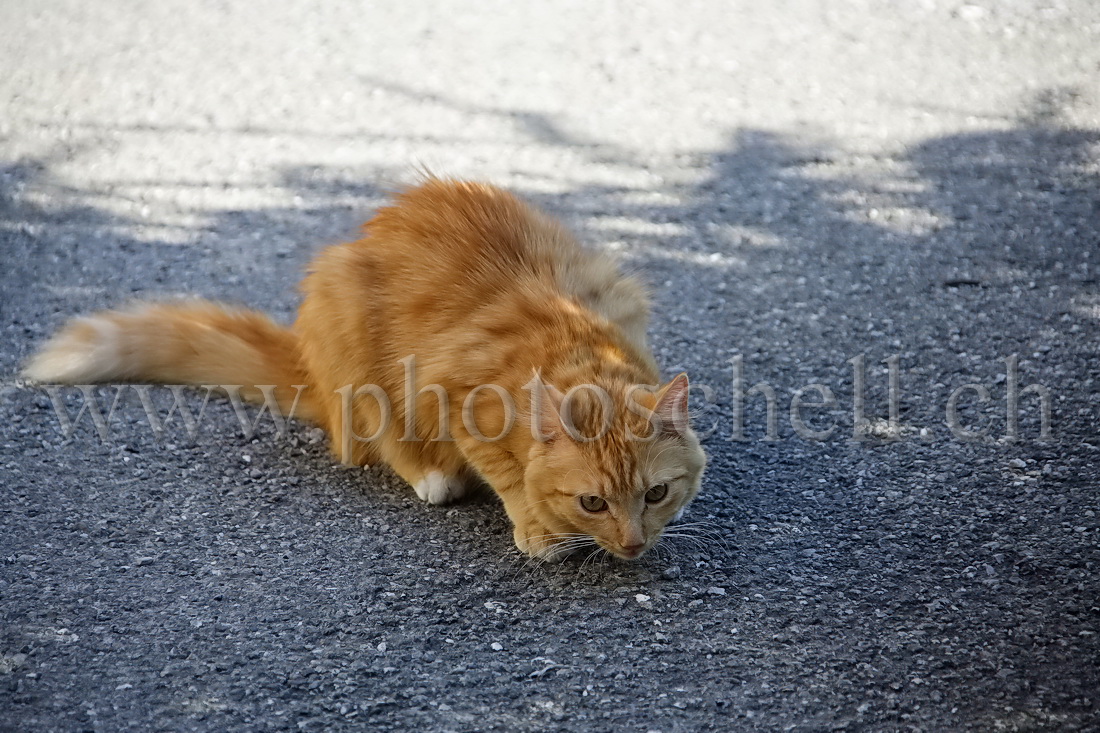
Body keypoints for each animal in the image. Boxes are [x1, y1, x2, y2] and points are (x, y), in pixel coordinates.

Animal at [23, 179, 704, 556]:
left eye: (656, 493)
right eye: (592, 504)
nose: (634, 545)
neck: (572, 348)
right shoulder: (451, 392)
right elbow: (508, 475)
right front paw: (536, 527)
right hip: (355, 354)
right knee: (383, 443)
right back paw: (433, 476)